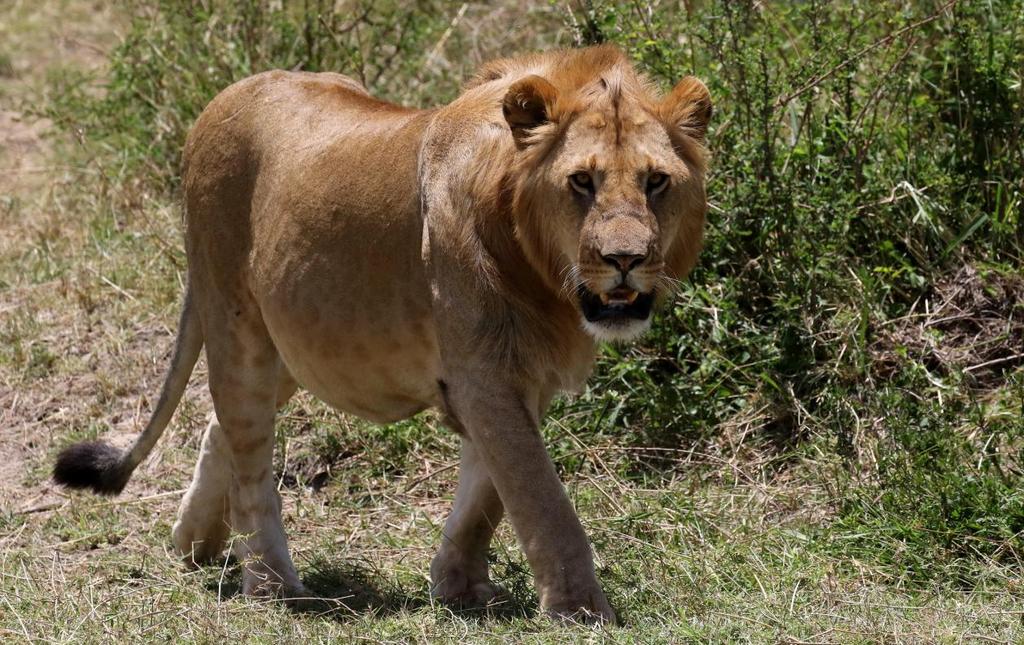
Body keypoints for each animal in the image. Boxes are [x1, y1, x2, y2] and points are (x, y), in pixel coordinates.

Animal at [51, 43, 708, 622]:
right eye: (581, 182)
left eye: (655, 182)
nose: (625, 259)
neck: (543, 272)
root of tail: (223, 98)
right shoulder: (483, 373)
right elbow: (540, 498)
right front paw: (581, 611)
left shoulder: (520, 378)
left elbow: (487, 497)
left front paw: (458, 588)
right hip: (236, 320)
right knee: (248, 455)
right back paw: (272, 585)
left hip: (296, 339)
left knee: (222, 429)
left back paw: (193, 544)